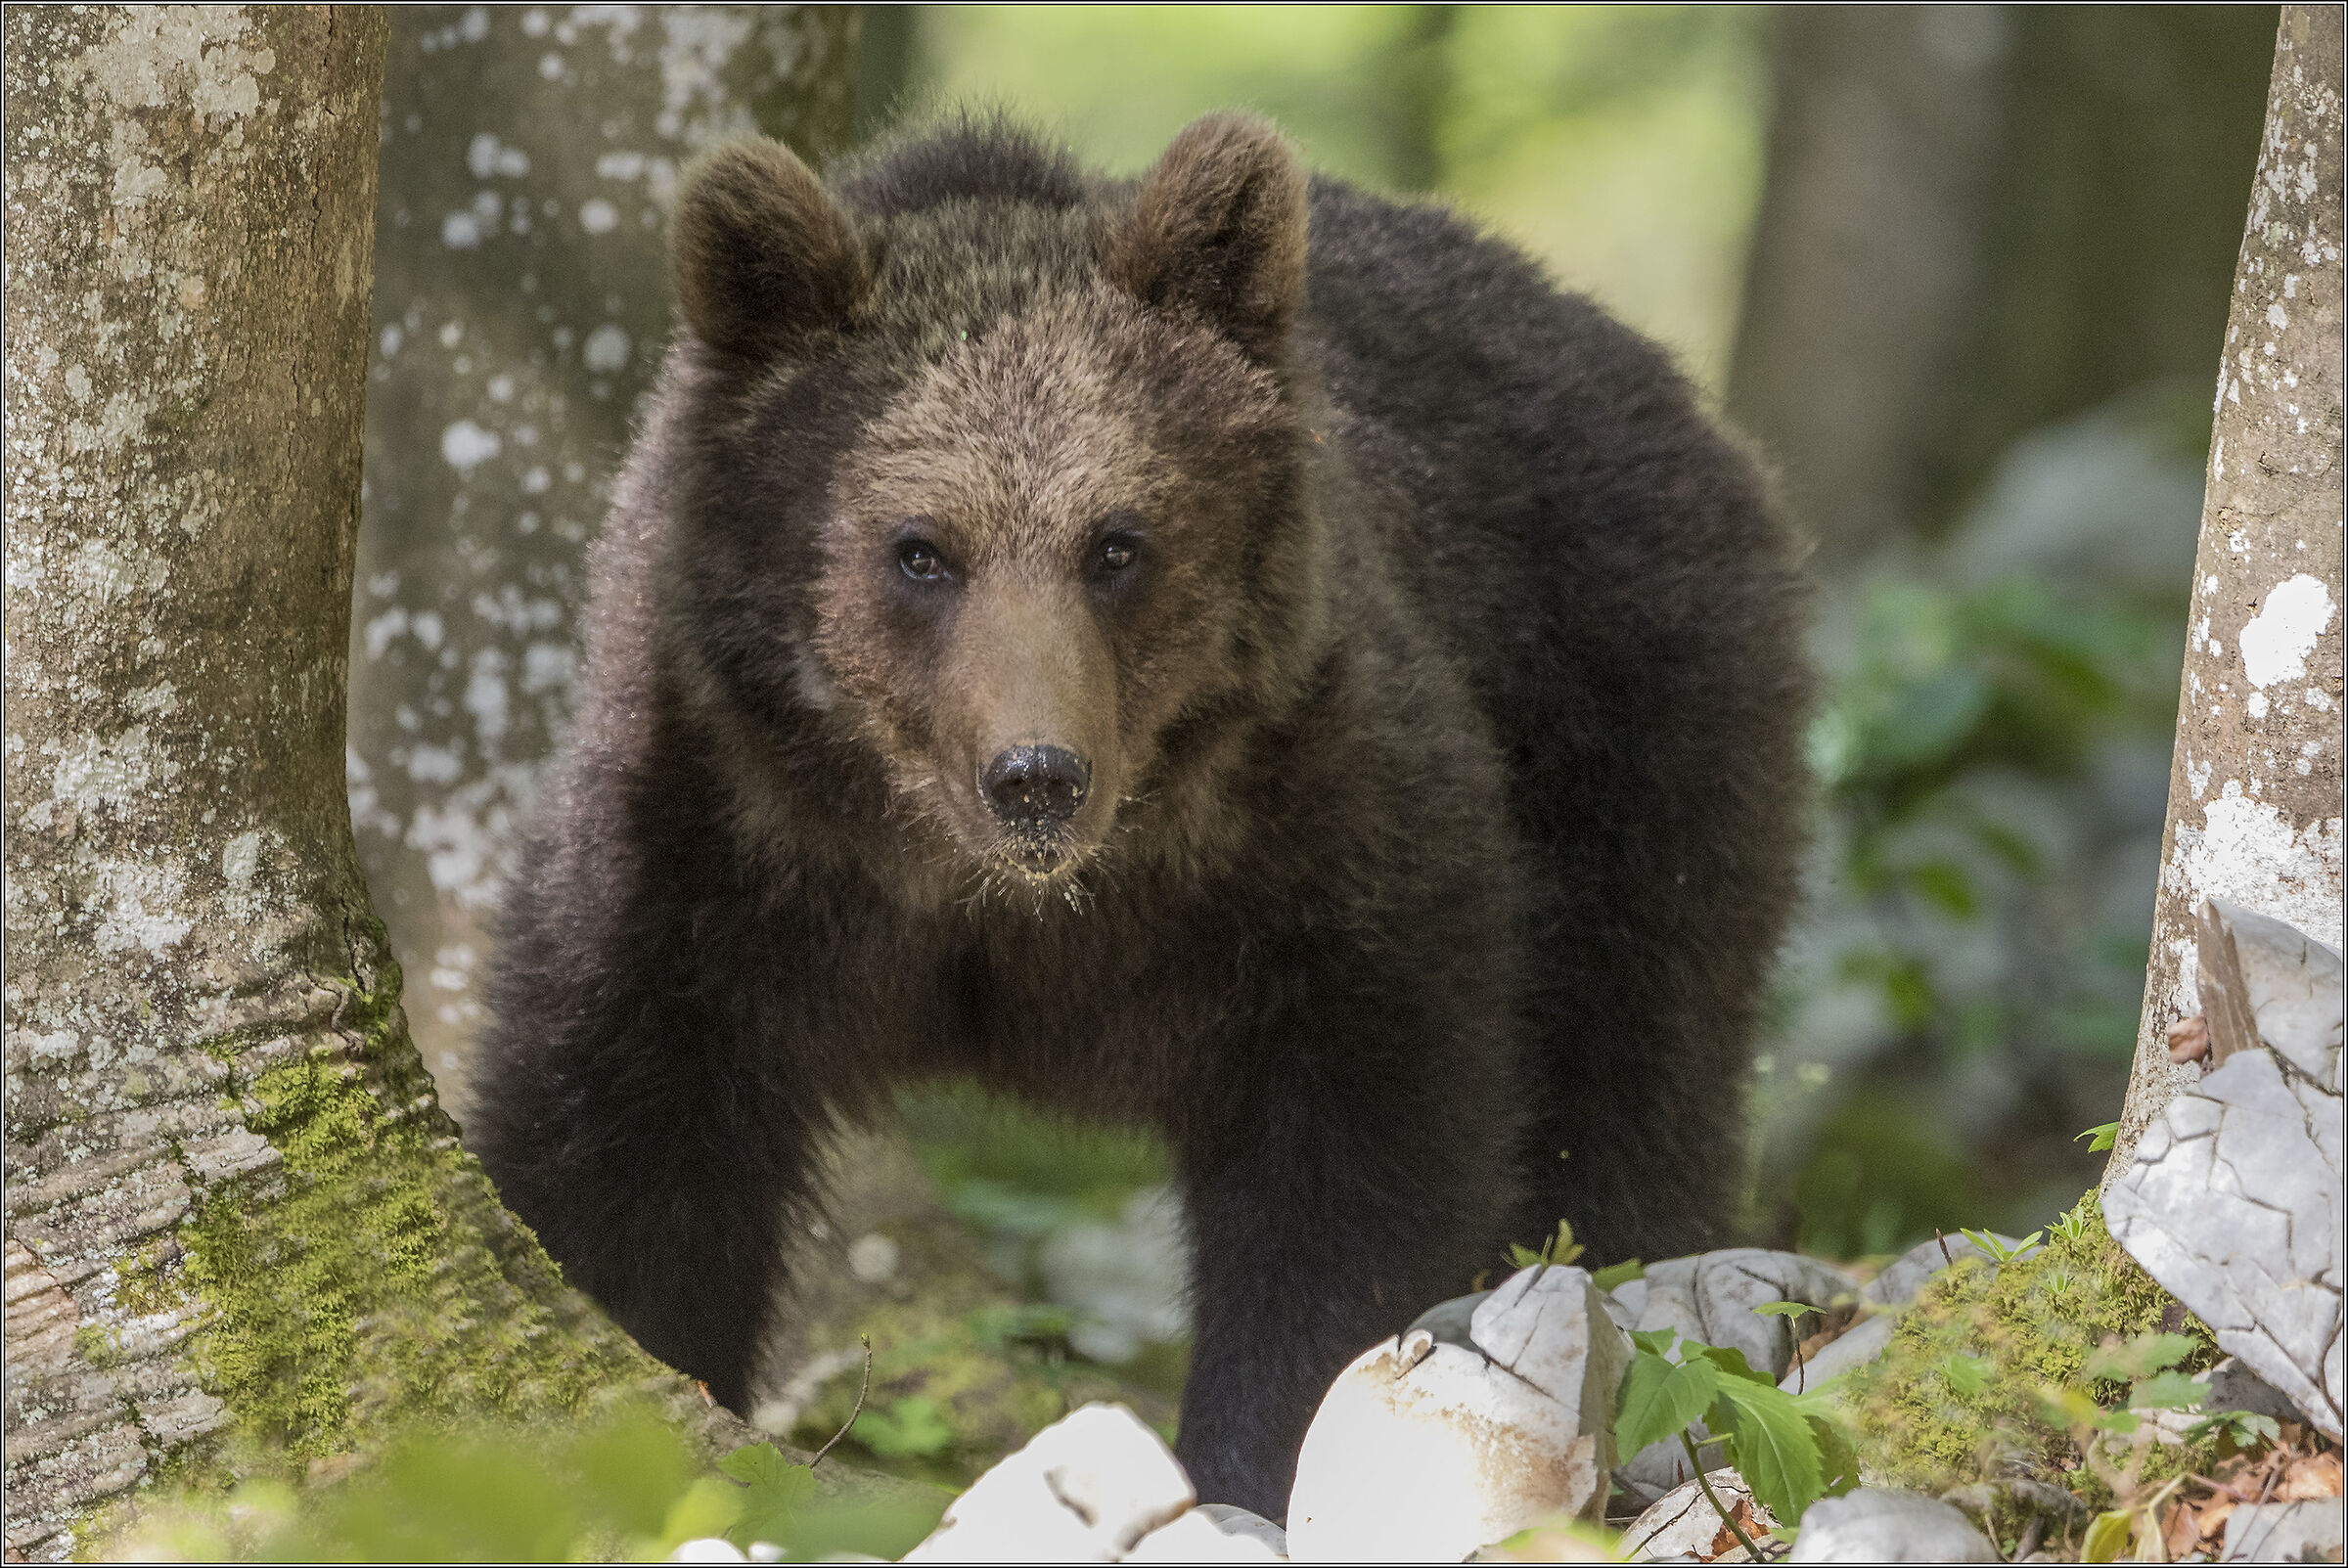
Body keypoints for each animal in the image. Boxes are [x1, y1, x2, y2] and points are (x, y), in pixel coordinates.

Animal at [466, 111, 1811, 1519]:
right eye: (919, 548)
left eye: (1118, 541)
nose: (1036, 773)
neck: (996, 898)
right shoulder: (714, 837)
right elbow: (625, 1142)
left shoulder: (1316, 837)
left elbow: (1352, 1163)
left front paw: (1262, 1453)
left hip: (1635, 733)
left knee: (1635, 1075)